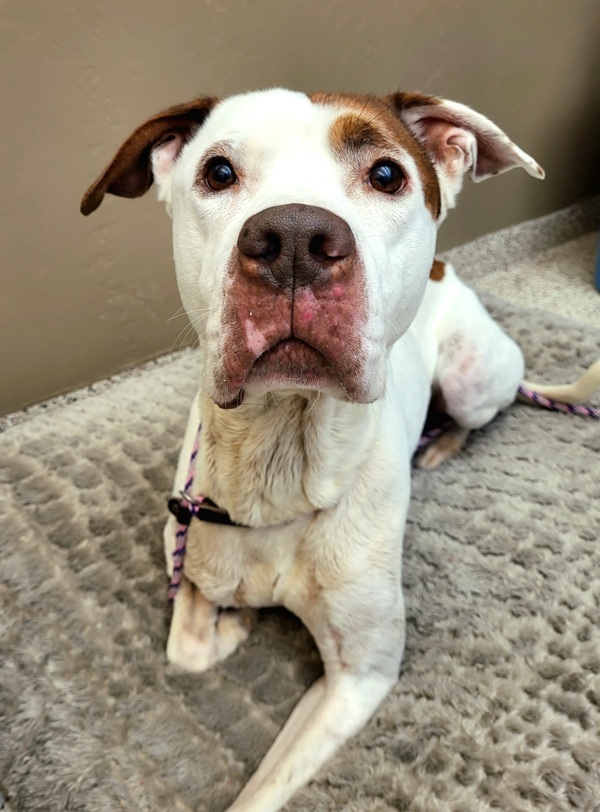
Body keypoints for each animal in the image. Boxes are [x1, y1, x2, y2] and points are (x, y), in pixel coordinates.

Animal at [82, 89, 576, 812]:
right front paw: (234, 624)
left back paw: (439, 446)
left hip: (474, 377)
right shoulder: (192, 548)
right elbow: (187, 646)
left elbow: (262, 792)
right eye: (218, 172)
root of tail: (446, 269)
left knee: (482, 409)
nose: (291, 239)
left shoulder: (360, 677)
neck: (281, 465)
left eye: (387, 174)